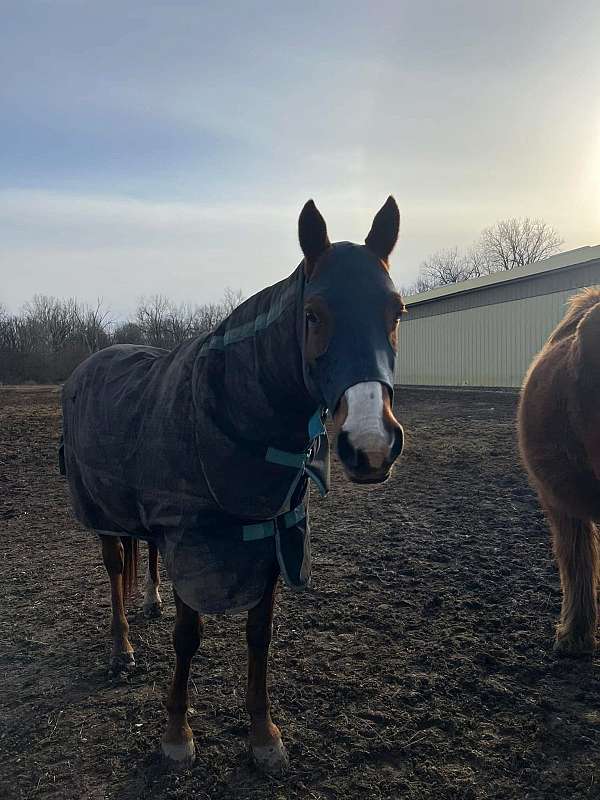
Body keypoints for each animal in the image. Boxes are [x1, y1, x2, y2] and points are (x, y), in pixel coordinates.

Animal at [61, 197, 406, 773]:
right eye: (313, 314)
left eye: (397, 311)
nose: (371, 445)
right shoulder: (193, 541)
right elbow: (188, 637)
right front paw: (177, 735)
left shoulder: (270, 539)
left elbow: (258, 637)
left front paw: (264, 735)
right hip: (102, 513)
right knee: (113, 571)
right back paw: (121, 650)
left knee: (147, 555)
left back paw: (150, 600)